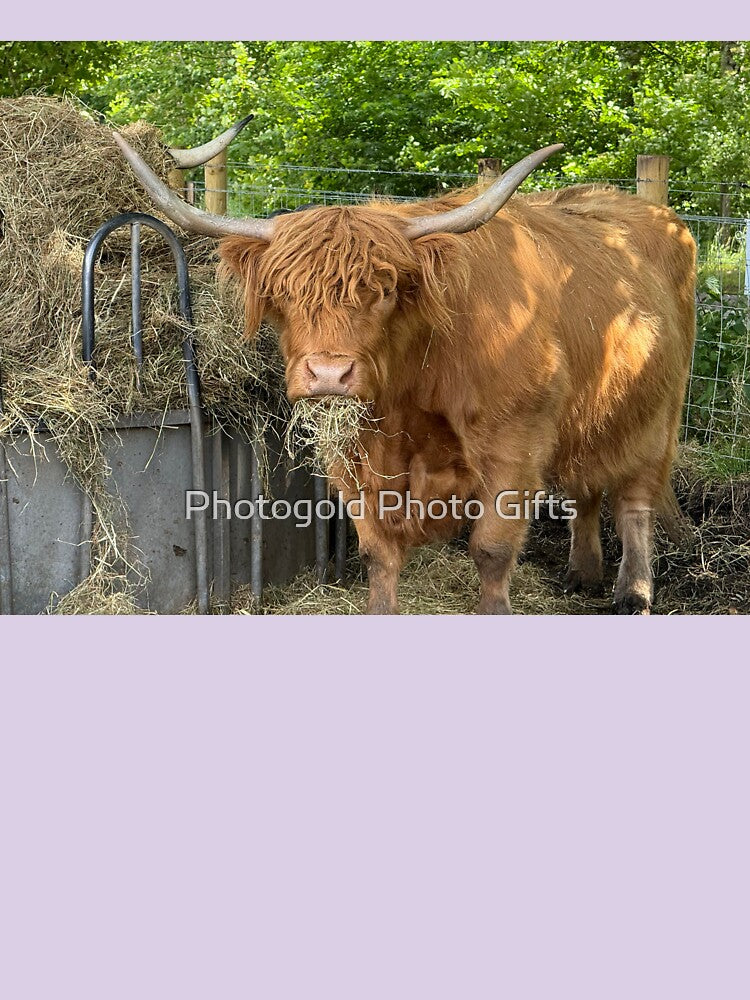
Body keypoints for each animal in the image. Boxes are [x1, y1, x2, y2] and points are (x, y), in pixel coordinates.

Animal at [113, 131, 697, 615]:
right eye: (284, 294)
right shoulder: (355, 455)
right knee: (587, 484)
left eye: (385, 289)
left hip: (657, 414)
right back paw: (582, 572)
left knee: (634, 500)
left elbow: (492, 548)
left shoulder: (515, 443)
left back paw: (633, 592)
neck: (412, 392)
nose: (329, 374)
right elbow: (378, 551)